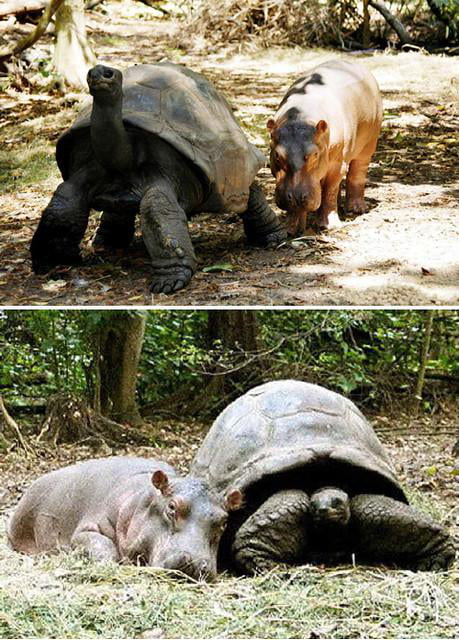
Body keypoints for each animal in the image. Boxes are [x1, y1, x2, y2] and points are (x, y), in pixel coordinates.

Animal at [8, 456, 241, 580]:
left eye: (224, 521)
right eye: (172, 507)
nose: (195, 562)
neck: (142, 498)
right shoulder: (89, 525)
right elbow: (98, 543)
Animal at [268, 59, 382, 235]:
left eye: (314, 154)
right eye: (277, 155)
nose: (296, 197)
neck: (301, 118)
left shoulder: (337, 164)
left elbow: (330, 190)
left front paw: (329, 226)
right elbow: (299, 205)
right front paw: (291, 230)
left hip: (369, 142)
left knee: (357, 171)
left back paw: (356, 209)